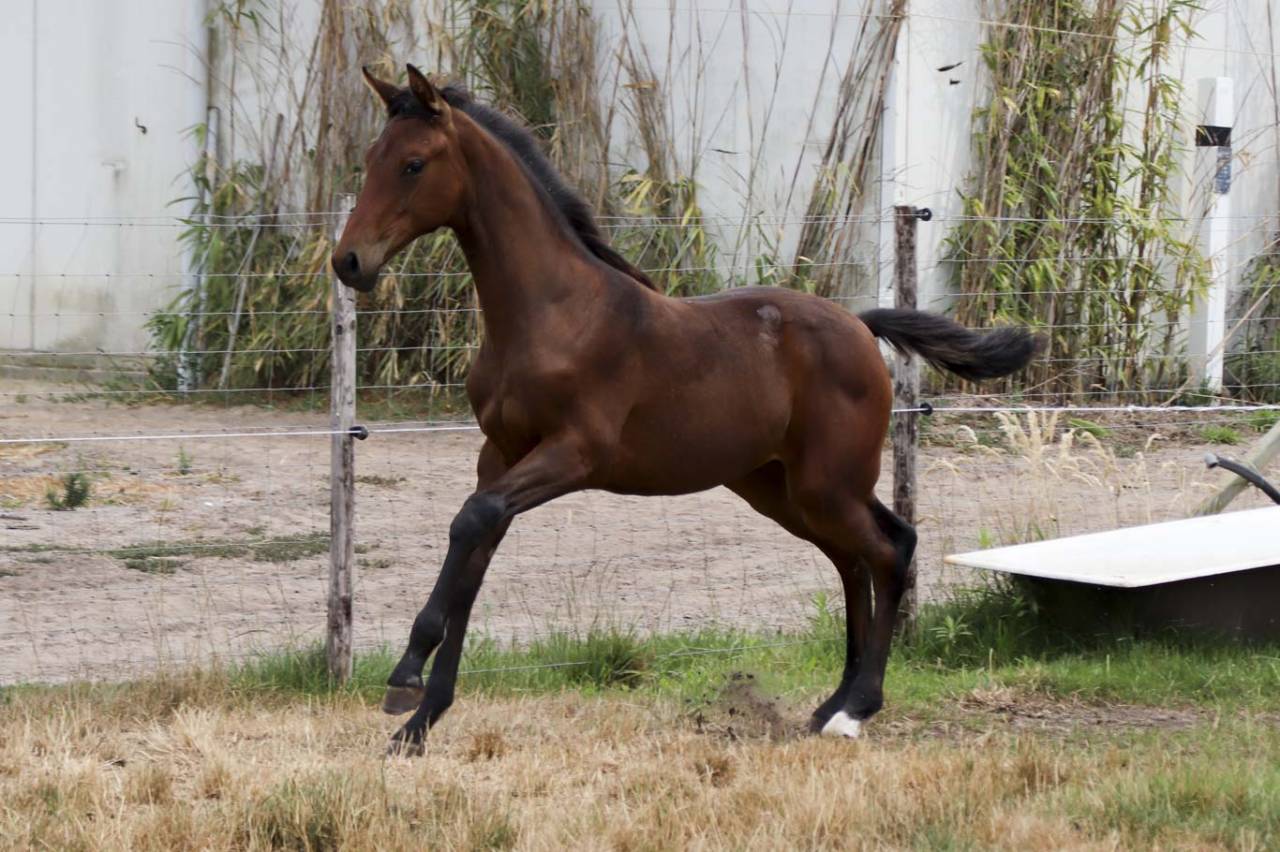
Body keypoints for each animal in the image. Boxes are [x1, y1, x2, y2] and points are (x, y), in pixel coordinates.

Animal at [333, 65, 1041, 756]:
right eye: (369, 158)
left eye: (415, 163)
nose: (348, 261)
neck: (552, 312)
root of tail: (861, 327)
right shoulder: (498, 455)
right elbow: (473, 556)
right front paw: (418, 723)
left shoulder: (573, 454)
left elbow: (470, 522)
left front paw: (403, 678)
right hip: (784, 489)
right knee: (855, 559)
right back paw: (830, 705)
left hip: (826, 484)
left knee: (891, 550)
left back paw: (856, 708)